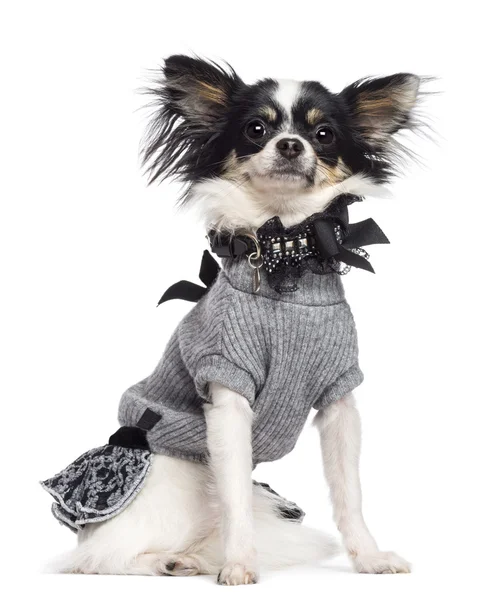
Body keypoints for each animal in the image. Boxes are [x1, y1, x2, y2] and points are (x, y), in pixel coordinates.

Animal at [42, 55, 426, 580]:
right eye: (255, 129)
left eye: (324, 134)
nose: (290, 144)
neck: (286, 251)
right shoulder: (227, 392)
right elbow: (236, 497)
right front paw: (240, 564)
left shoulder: (339, 401)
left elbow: (350, 494)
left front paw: (368, 556)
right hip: (170, 484)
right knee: (103, 557)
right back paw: (169, 560)